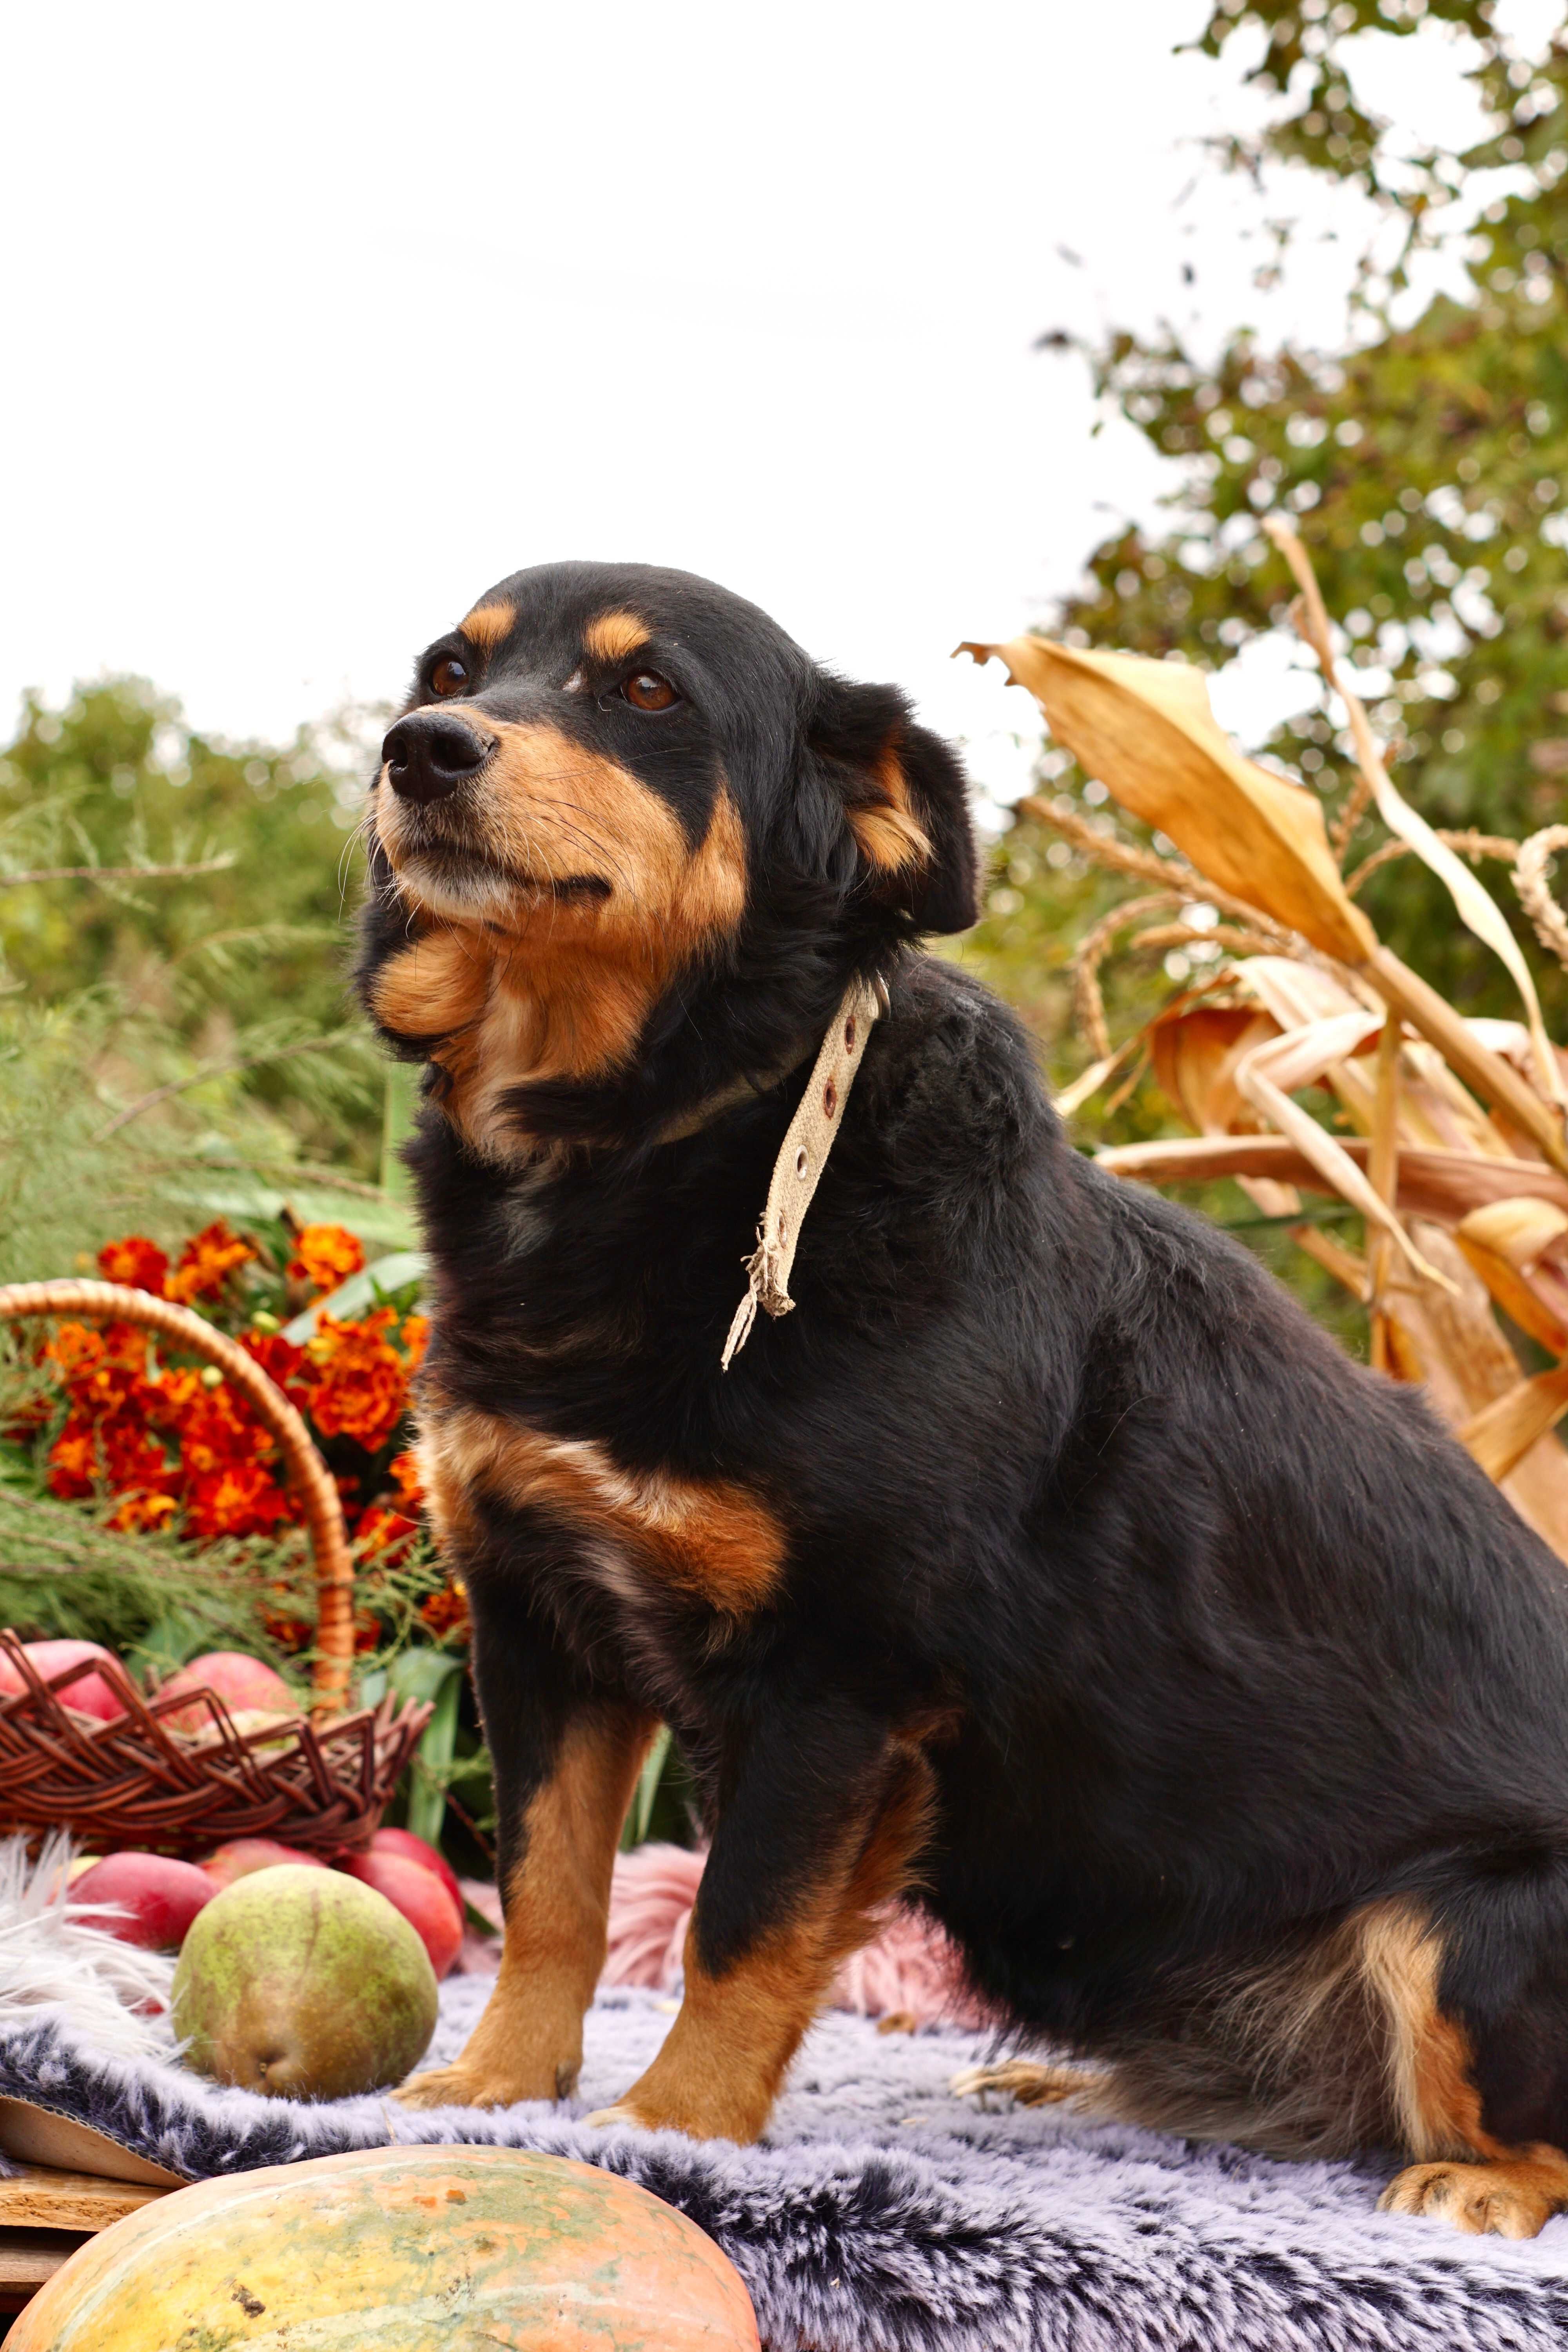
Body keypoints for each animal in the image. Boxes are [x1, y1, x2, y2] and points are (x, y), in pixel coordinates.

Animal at [369, 560, 1568, 2230]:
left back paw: (1472, 2186)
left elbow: (735, 1929)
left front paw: (676, 2128)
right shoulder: (538, 1620)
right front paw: (498, 2088)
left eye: (647, 691)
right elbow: (549, 1892)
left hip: (1463, 1924)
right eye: (451, 668)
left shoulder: (835, 1676)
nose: (422, 751)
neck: (676, 1140)